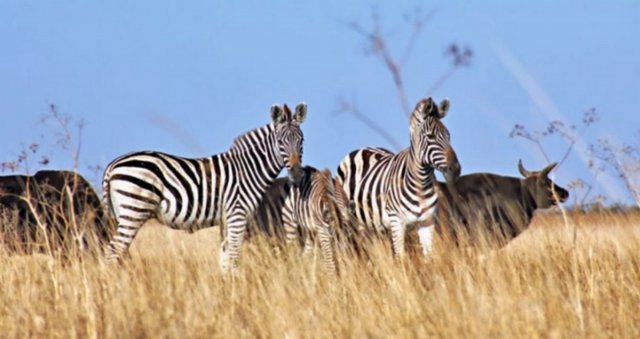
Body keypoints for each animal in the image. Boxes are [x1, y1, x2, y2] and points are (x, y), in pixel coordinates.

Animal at [102, 103, 308, 274]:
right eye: (280, 142)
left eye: (302, 141)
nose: (297, 173)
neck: (248, 169)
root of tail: (113, 165)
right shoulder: (237, 214)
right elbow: (234, 256)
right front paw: (237, 289)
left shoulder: (227, 219)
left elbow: (225, 256)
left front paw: (227, 288)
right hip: (135, 209)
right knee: (113, 251)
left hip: (122, 213)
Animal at [336, 97, 460, 258]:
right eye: (430, 137)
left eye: (448, 135)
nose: (456, 169)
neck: (421, 182)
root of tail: (362, 148)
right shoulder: (397, 222)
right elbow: (401, 258)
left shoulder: (427, 222)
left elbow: (428, 256)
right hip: (349, 220)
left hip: (376, 226)